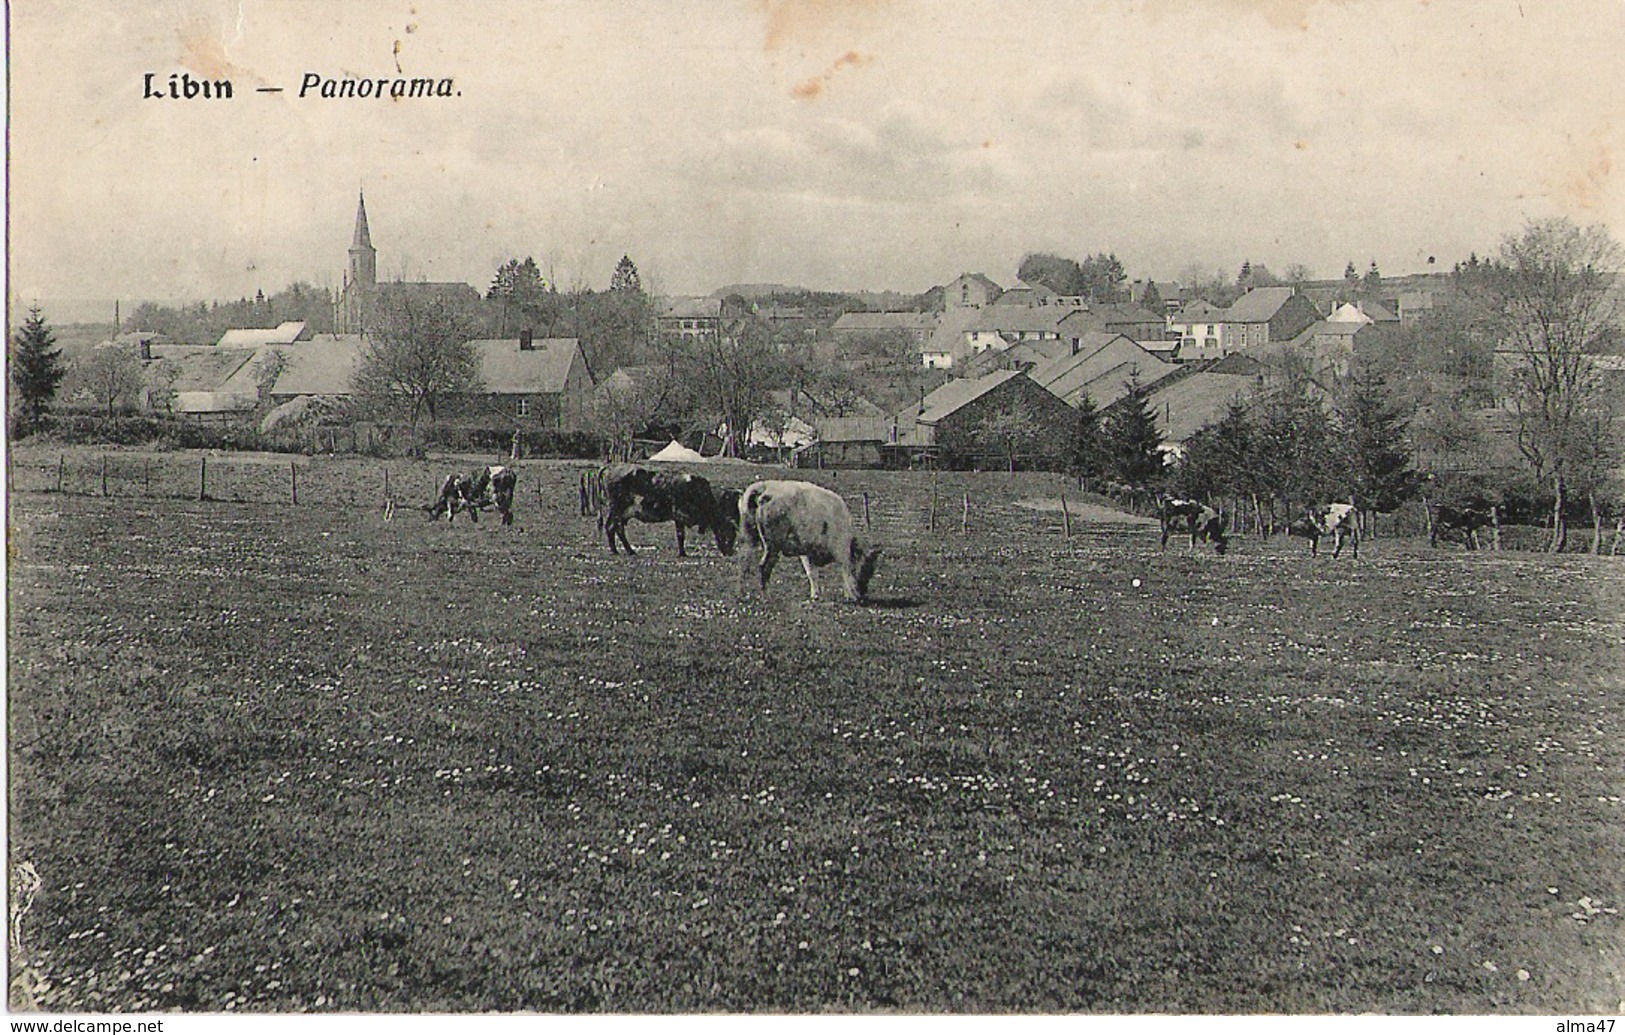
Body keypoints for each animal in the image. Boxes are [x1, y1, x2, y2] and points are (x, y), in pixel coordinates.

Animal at [601, 461, 741, 555]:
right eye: (729, 532)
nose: (730, 552)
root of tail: (610, 467)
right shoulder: (679, 514)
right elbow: (680, 535)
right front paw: (682, 553)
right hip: (617, 510)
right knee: (613, 527)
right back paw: (622, 551)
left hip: (620, 513)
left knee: (615, 528)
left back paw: (623, 550)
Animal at [741, 480, 884, 601]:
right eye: (868, 567)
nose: (863, 593)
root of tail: (764, 487)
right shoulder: (841, 550)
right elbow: (846, 572)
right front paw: (852, 595)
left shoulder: (807, 552)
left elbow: (812, 573)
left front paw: (815, 595)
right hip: (773, 545)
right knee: (764, 566)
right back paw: (767, 596)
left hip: (750, 541)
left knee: (744, 564)